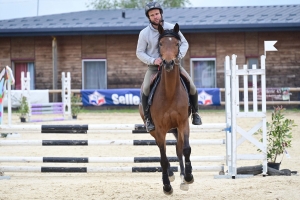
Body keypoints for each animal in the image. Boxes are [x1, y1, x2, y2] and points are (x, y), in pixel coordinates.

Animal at [139, 22, 193, 195]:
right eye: (161, 43)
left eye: (177, 43)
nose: (168, 63)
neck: (169, 93)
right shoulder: (160, 129)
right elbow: (162, 158)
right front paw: (166, 186)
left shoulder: (183, 123)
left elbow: (186, 149)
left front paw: (188, 177)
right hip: (154, 131)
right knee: (162, 151)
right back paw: (170, 175)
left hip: (177, 128)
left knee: (178, 149)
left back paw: (183, 178)